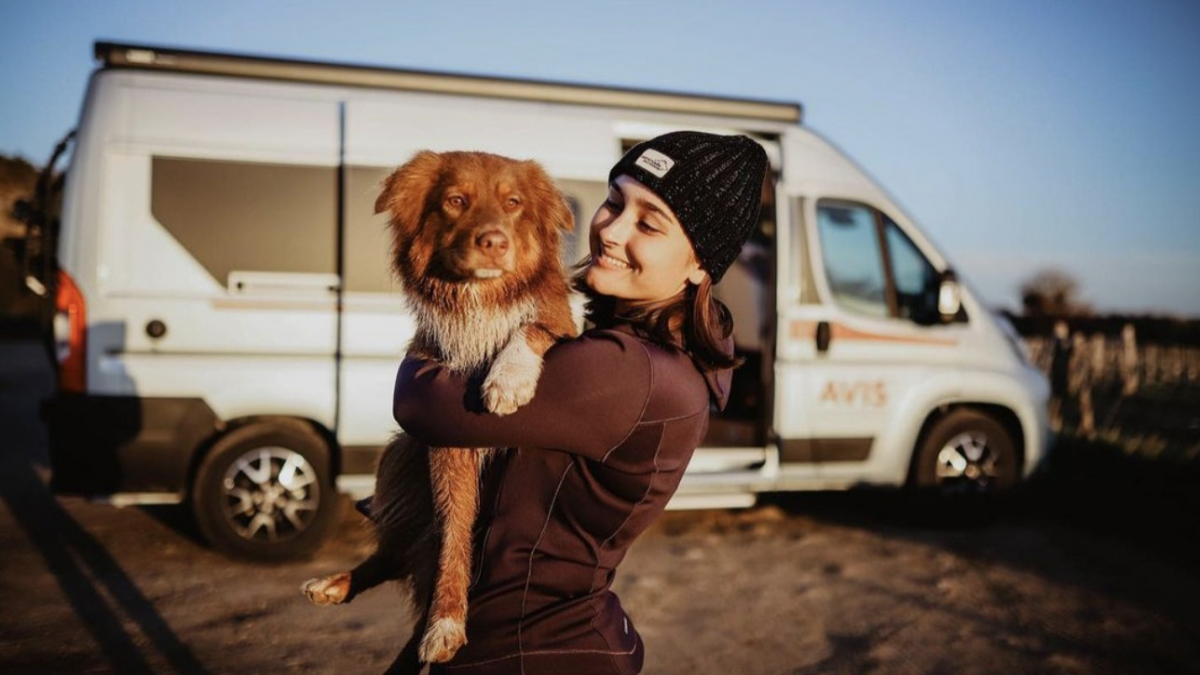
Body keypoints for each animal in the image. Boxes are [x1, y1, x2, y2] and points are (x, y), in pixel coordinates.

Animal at [302, 149, 578, 667]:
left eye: (513, 203)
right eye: (455, 201)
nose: (494, 242)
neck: (479, 302)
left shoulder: (565, 325)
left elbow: (536, 324)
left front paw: (508, 378)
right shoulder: (447, 436)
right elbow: (451, 530)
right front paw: (445, 622)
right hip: (401, 452)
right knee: (396, 548)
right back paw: (335, 583)